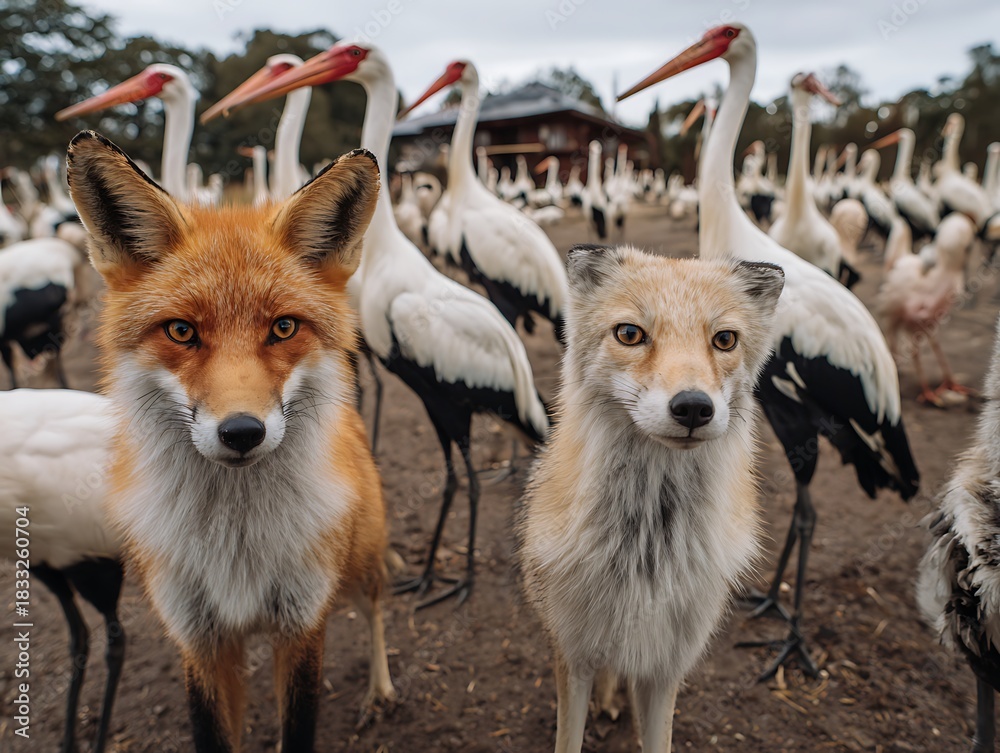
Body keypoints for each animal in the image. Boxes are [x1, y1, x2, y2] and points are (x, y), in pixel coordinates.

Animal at [65, 130, 394, 753]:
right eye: (181, 331)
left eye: (283, 328)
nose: (242, 431)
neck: (236, 542)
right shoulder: (199, 638)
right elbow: (214, 733)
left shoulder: (302, 623)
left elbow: (298, 729)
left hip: (361, 556)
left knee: (374, 607)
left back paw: (381, 690)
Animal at [517, 245, 784, 753]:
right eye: (630, 334)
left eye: (724, 340)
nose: (694, 407)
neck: (646, 553)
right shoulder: (572, 652)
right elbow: (570, 735)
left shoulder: (667, 665)